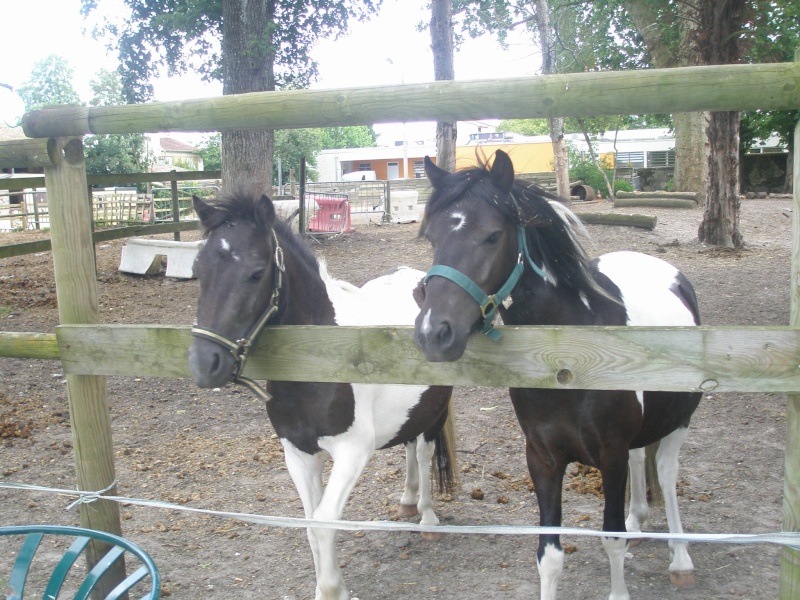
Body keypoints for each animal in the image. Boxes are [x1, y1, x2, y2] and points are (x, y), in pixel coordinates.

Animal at [184, 192, 454, 600]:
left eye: (257, 272)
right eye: (199, 270)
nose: (204, 363)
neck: (320, 361)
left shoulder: (352, 453)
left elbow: (326, 522)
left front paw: (331, 590)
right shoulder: (298, 454)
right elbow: (311, 525)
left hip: (435, 410)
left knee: (423, 454)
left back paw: (427, 517)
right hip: (411, 410)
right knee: (409, 447)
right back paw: (407, 502)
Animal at [412, 152, 700, 600]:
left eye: (493, 236)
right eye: (431, 238)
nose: (433, 333)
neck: (567, 360)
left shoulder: (610, 456)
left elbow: (611, 540)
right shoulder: (543, 458)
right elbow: (549, 554)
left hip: (679, 420)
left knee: (667, 475)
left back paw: (681, 559)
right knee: (642, 463)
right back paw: (638, 524)